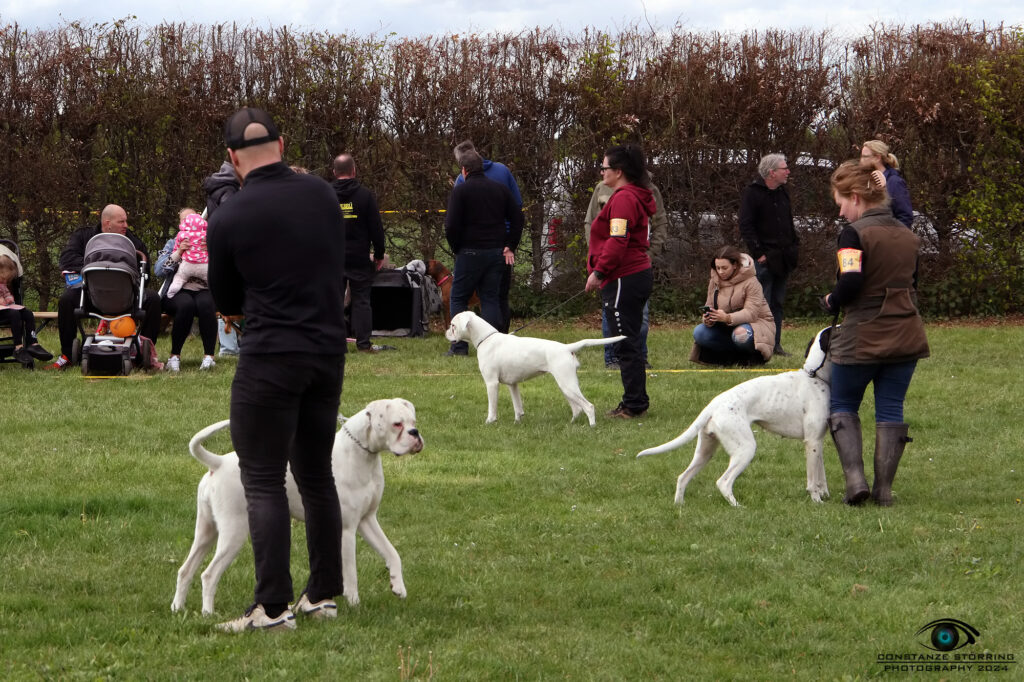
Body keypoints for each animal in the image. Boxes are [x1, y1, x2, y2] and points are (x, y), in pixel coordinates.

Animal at [172, 395, 423, 614]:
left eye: (413, 422)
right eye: (397, 424)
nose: (415, 434)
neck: (361, 453)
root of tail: (219, 463)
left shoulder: (367, 521)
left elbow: (392, 553)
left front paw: (398, 586)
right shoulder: (346, 530)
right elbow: (351, 573)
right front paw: (354, 605)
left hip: (206, 532)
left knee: (186, 570)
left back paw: (178, 609)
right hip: (233, 533)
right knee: (209, 574)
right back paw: (208, 613)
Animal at [446, 309, 622, 425]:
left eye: (453, 325)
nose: (446, 332)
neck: (486, 339)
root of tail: (566, 348)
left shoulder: (491, 383)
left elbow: (492, 407)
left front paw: (490, 421)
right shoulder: (512, 385)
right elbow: (518, 406)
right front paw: (518, 422)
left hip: (568, 385)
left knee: (589, 406)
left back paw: (592, 427)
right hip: (567, 386)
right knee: (577, 408)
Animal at [634, 323, 835, 503]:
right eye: (837, 328)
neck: (815, 377)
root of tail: (714, 404)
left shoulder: (818, 443)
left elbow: (822, 477)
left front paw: (825, 495)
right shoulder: (811, 442)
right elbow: (813, 481)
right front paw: (817, 501)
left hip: (705, 451)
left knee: (683, 477)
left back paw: (679, 506)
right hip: (745, 449)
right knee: (723, 482)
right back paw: (738, 507)